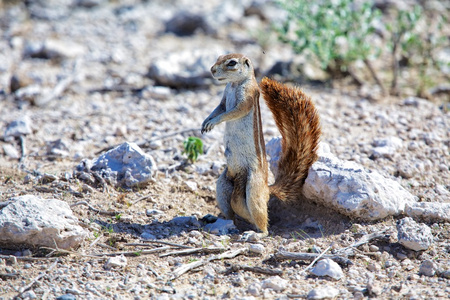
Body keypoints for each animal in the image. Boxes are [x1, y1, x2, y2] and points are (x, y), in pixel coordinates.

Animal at [202, 53, 322, 234]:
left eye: (232, 63)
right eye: (219, 57)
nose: (212, 70)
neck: (234, 84)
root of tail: (267, 188)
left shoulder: (248, 96)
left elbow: (231, 112)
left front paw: (214, 121)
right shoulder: (224, 98)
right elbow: (219, 107)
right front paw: (206, 121)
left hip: (253, 188)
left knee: (261, 221)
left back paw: (257, 233)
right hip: (222, 185)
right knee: (232, 214)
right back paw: (218, 220)